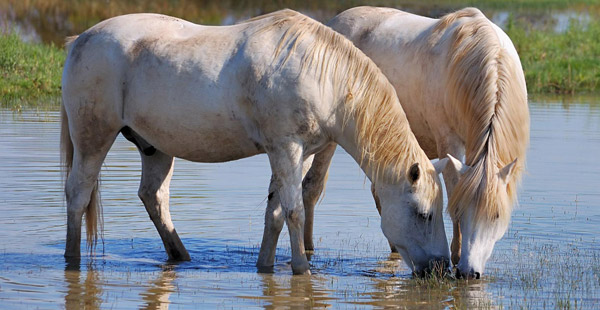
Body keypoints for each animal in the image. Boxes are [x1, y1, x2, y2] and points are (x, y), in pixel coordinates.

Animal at [62, 9, 450, 274]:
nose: (440, 268)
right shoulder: (286, 148)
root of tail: (79, 40)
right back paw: (72, 261)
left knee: (154, 197)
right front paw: (301, 270)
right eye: (423, 214)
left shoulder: (296, 154)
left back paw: (182, 257)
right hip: (93, 137)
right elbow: (294, 210)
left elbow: (274, 212)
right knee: (78, 195)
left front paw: (265, 266)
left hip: (155, 147)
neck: (323, 76)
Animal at [284, 6, 528, 278]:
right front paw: (456, 256)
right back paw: (308, 250)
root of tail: (334, 22)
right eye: (460, 211)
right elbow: (454, 189)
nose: (468, 273)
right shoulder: (450, 143)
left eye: (496, 216)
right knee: (312, 187)